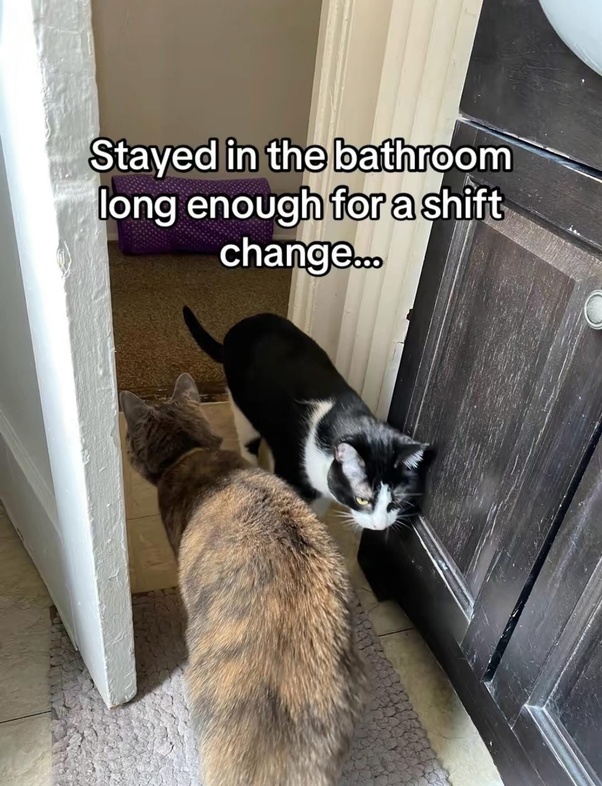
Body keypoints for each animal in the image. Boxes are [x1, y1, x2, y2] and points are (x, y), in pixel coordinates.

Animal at [182, 307, 430, 531]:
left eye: (397, 500)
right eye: (363, 499)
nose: (380, 526)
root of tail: (237, 330)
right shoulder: (292, 469)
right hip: (243, 412)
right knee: (248, 443)